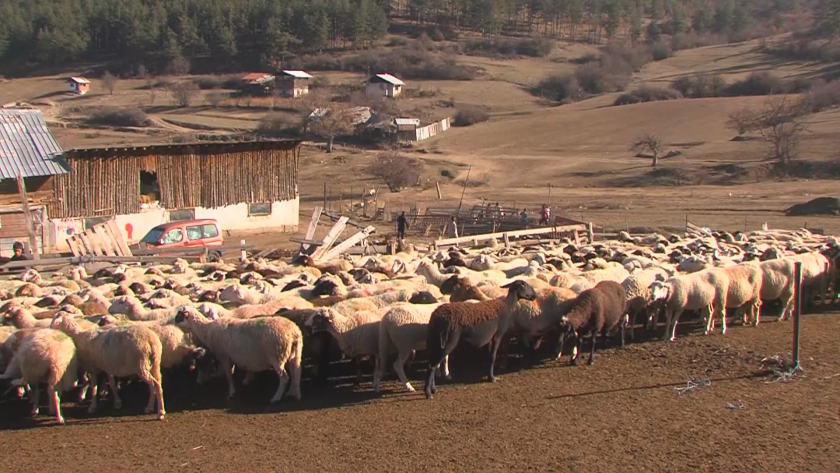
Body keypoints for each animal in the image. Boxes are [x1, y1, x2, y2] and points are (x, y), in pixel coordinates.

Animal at [174, 306, 302, 402]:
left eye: (179, 315)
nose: (173, 322)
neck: (207, 329)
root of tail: (293, 333)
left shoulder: (224, 356)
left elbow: (229, 375)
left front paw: (231, 392)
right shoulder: (230, 357)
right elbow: (230, 372)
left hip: (277, 355)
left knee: (284, 378)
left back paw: (276, 398)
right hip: (293, 354)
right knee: (296, 372)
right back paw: (293, 393)